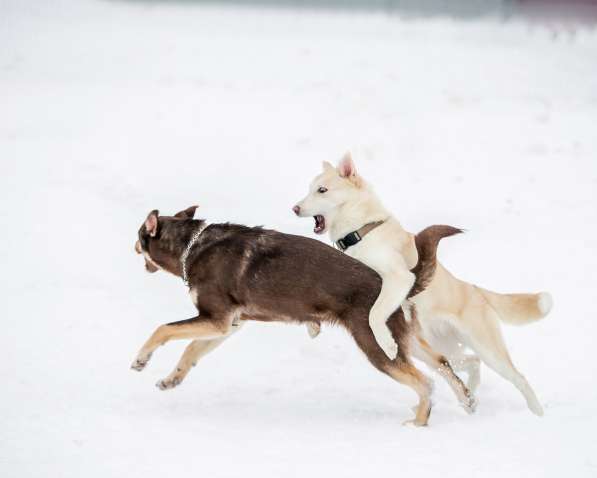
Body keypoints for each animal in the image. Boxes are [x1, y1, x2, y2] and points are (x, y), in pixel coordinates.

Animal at [133, 206, 472, 426]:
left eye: (139, 236)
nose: (134, 245)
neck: (191, 246)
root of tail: (405, 282)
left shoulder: (216, 319)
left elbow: (163, 329)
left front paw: (141, 360)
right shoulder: (227, 325)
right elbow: (191, 350)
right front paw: (171, 379)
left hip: (376, 346)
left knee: (425, 383)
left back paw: (419, 422)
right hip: (405, 339)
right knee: (443, 364)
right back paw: (467, 402)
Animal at [292, 154, 548, 414]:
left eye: (322, 190)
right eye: (309, 189)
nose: (295, 208)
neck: (362, 232)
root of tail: (474, 289)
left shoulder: (399, 278)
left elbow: (375, 314)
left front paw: (387, 344)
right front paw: (312, 325)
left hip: (487, 350)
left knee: (517, 377)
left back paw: (537, 412)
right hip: (441, 345)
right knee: (467, 362)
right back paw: (470, 395)